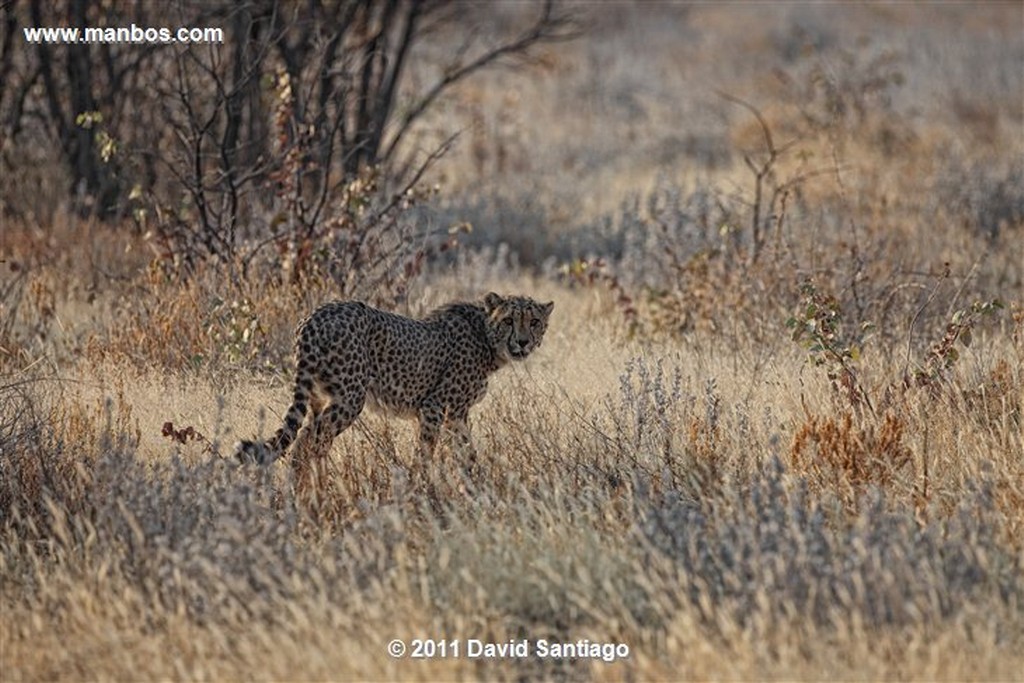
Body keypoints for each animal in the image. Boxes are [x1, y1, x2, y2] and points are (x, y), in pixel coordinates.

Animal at [234, 294, 552, 471]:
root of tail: (315, 315)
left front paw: (475, 484)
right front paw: (420, 487)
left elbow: (467, 452)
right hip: (350, 398)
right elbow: (425, 452)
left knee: (312, 442)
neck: (486, 335)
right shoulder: (434, 407)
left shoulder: (457, 415)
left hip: (320, 397)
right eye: (509, 320)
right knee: (306, 442)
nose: (523, 342)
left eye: (534, 322)